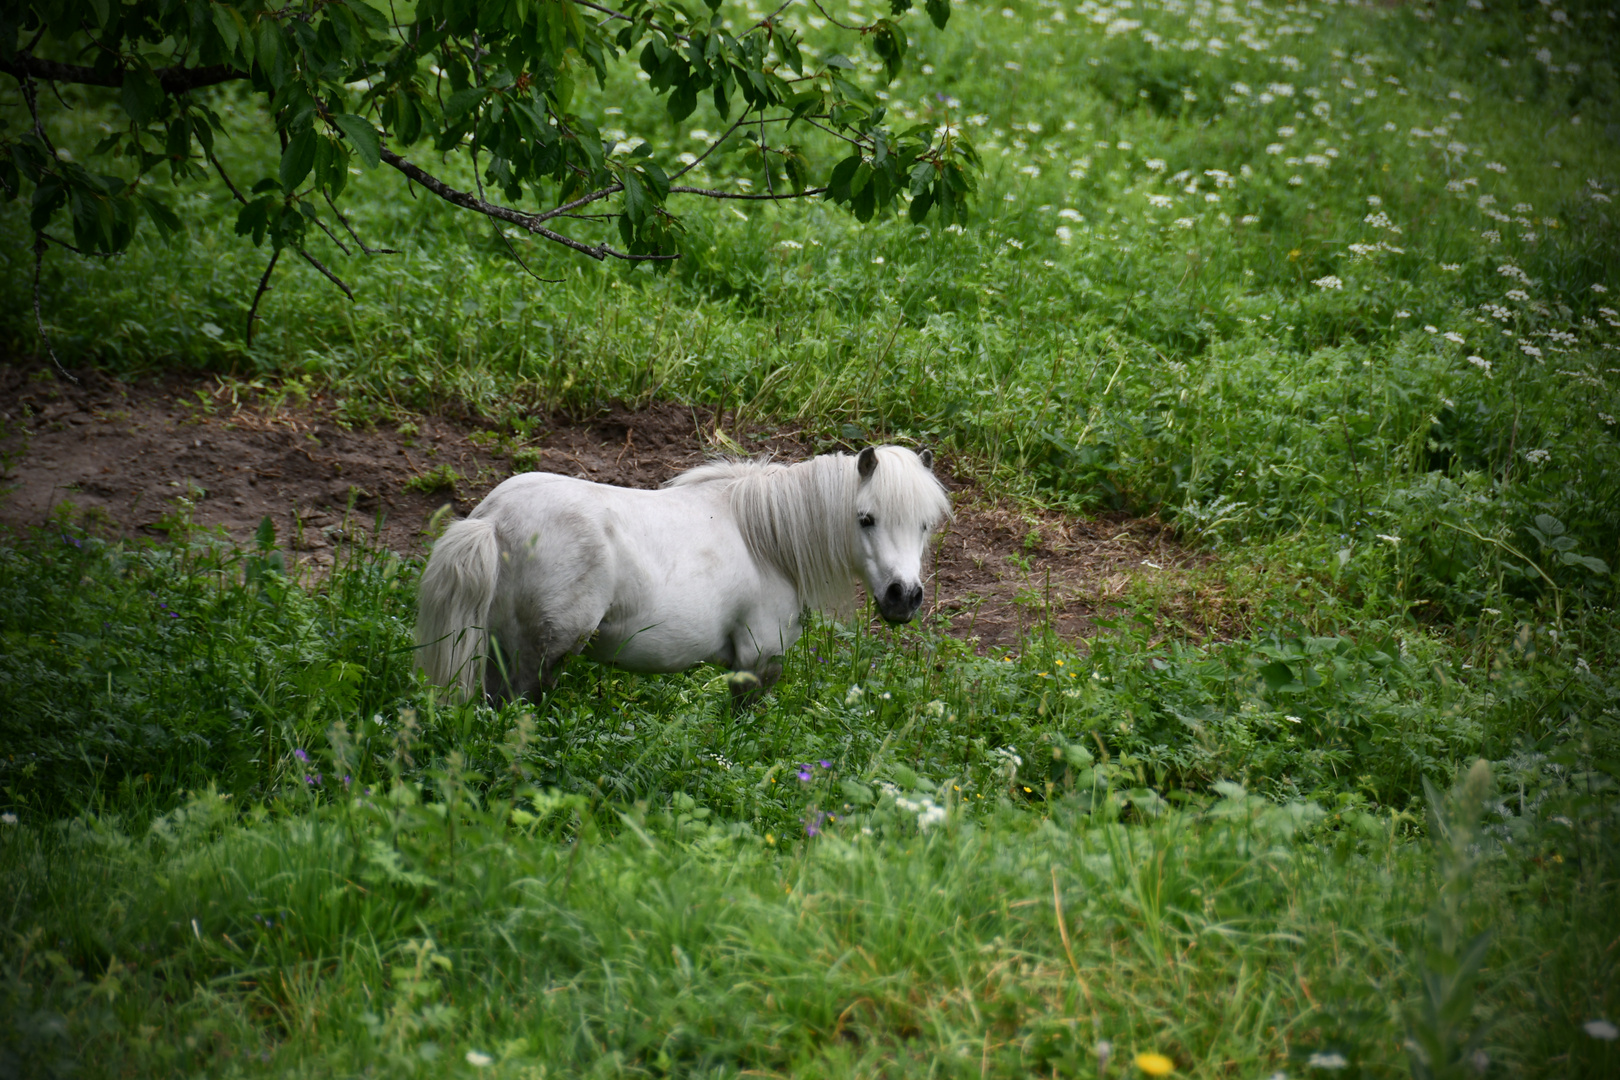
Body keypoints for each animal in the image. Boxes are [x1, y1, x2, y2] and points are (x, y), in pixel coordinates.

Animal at [414, 446, 946, 705]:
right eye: (866, 519)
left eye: (924, 524)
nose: (904, 597)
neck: (766, 540)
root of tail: (493, 519)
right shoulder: (757, 659)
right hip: (536, 659)